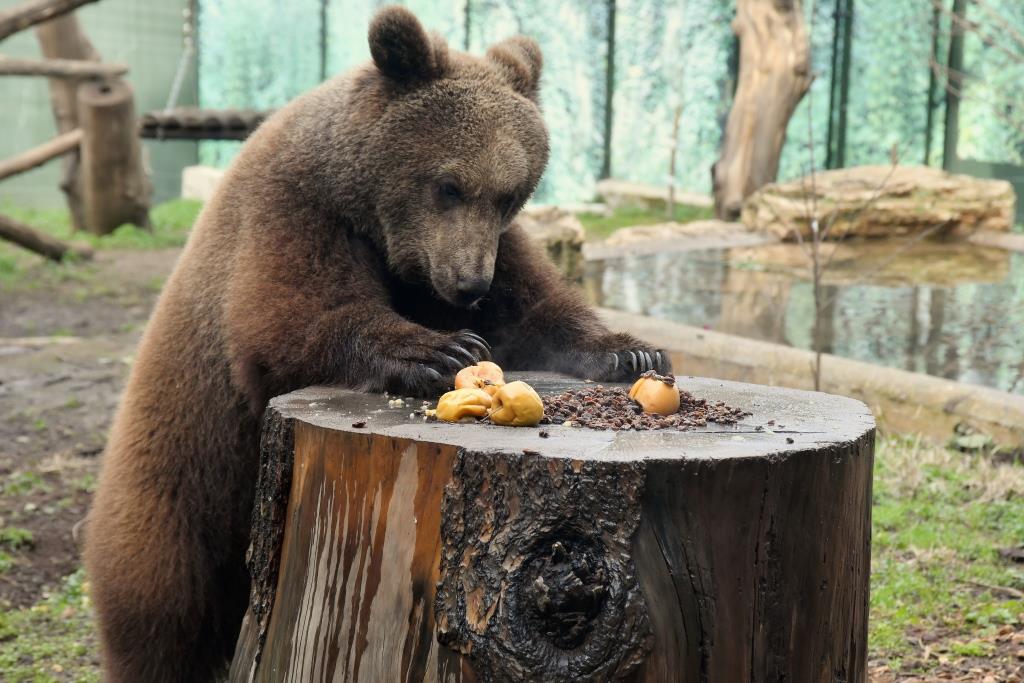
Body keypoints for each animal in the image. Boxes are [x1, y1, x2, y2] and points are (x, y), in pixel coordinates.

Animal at [81, 6, 671, 683]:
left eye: (510, 192)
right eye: (448, 185)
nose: (468, 284)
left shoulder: (491, 253)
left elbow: (536, 311)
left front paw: (633, 351)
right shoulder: (295, 213)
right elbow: (290, 321)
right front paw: (441, 351)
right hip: (180, 486)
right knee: (163, 610)